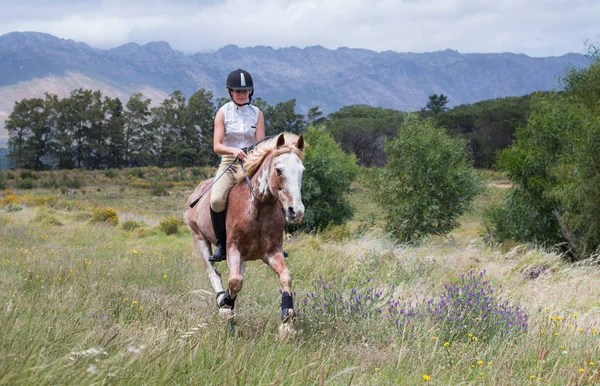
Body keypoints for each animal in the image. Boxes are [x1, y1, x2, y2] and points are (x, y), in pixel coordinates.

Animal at [185, 133, 304, 332]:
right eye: (279, 170)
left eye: (302, 171)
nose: (296, 211)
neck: (258, 208)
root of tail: (196, 191)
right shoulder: (233, 250)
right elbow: (234, 282)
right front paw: (224, 303)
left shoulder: (272, 253)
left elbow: (286, 277)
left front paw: (287, 323)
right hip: (199, 238)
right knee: (214, 273)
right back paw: (224, 305)